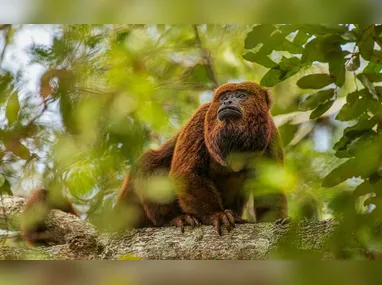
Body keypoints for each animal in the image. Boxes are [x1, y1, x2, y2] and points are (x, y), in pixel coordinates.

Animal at [22, 81, 288, 244]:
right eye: (223, 97)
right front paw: (217, 215)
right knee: (150, 162)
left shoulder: (271, 134)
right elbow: (185, 173)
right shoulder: (202, 115)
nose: (226, 103)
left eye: (241, 96)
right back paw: (174, 220)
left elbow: (270, 189)